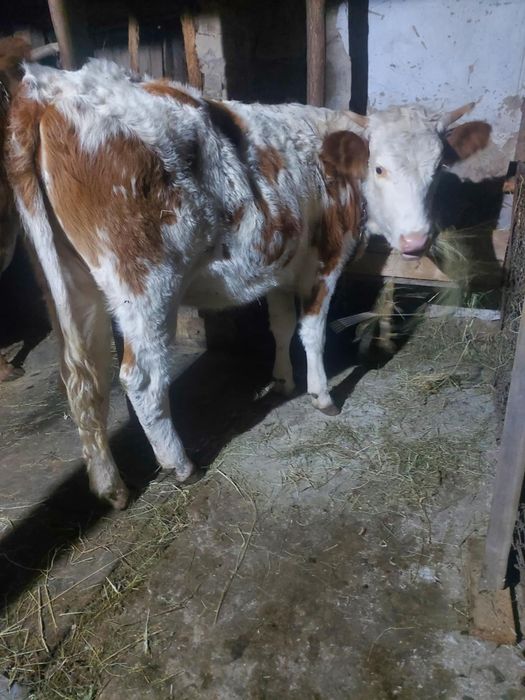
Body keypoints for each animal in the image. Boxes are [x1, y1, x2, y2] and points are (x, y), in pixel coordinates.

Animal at [0, 48, 491, 508]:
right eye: (380, 168)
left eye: (436, 170)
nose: (415, 240)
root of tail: (49, 86)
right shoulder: (326, 258)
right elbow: (312, 331)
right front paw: (321, 395)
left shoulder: (279, 265)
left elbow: (281, 325)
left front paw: (282, 380)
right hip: (144, 284)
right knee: (141, 379)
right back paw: (181, 465)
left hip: (68, 285)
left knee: (81, 378)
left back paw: (110, 486)